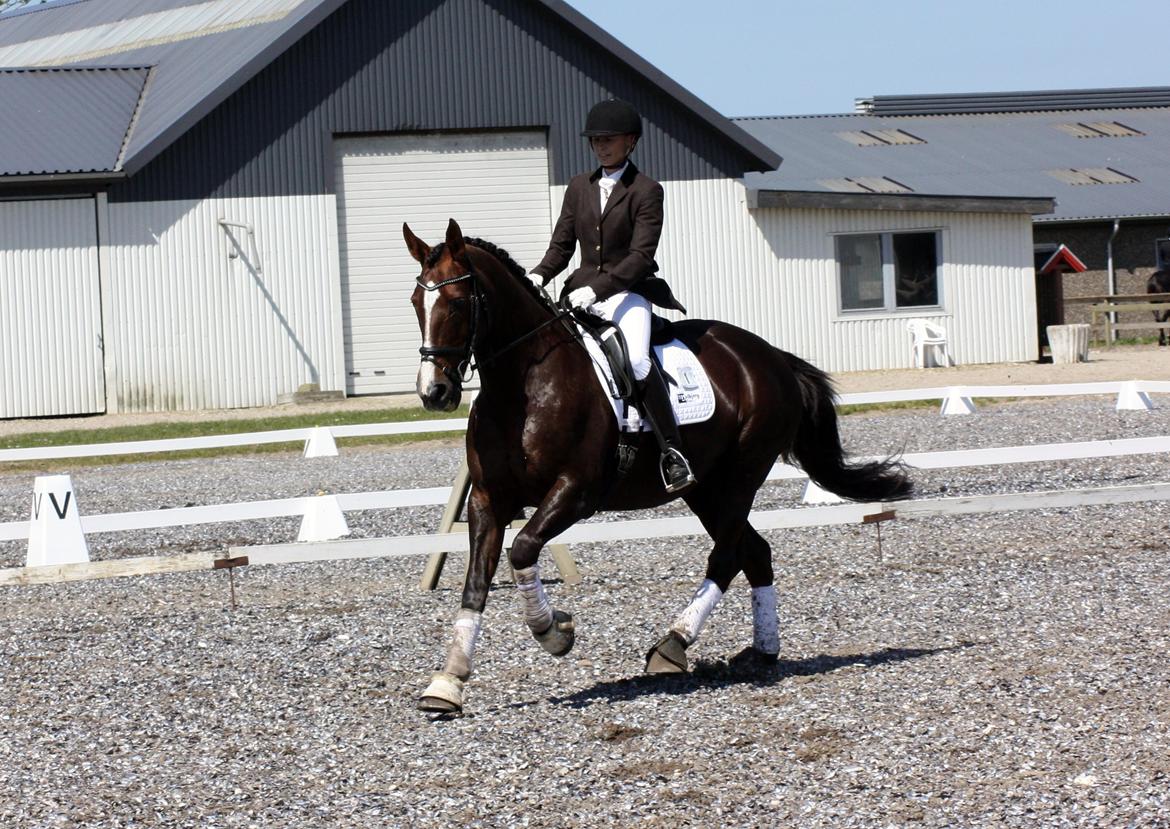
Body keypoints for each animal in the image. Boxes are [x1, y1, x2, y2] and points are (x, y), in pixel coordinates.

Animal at [404, 218, 912, 710]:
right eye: (415, 302)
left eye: (457, 303)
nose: (434, 393)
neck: (523, 388)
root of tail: (771, 357)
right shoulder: (488, 500)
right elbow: (476, 582)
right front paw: (447, 682)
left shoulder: (576, 492)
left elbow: (524, 549)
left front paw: (555, 632)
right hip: (705, 489)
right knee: (755, 551)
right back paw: (761, 651)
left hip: (739, 477)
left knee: (727, 555)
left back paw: (673, 644)